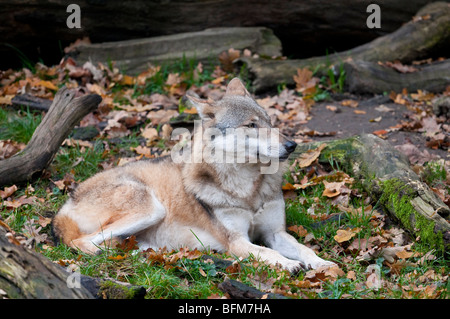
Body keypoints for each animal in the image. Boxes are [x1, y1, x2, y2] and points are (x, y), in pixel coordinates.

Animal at [51, 77, 334, 272]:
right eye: (252, 125)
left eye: (270, 122)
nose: (292, 145)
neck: (246, 190)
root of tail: (67, 201)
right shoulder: (237, 242)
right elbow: (269, 254)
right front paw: (288, 264)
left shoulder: (276, 233)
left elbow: (304, 249)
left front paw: (323, 263)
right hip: (151, 209)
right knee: (81, 243)